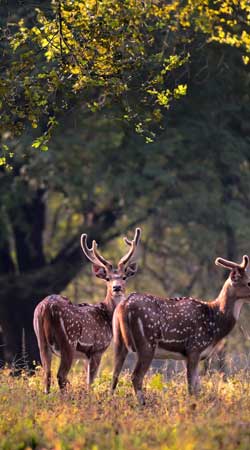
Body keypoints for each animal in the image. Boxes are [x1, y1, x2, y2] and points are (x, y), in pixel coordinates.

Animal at [33, 227, 141, 392]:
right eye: (108, 278)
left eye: (124, 277)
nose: (116, 288)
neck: (107, 315)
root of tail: (45, 308)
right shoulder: (97, 348)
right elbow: (90, 382)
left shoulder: (86, 355)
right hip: (68, 342)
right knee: (61, 375)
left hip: (41, 341)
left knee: (47, 375)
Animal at [112, 255, 250, 406]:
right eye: (249, 282)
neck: (215, 323)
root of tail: (123, 306)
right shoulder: (194, 348)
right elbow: (191, 387)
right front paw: (192, 406)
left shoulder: (187, 355)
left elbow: (197, 387)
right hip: (147, 343)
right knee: (136, 376)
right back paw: (143, 405)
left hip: (119, 340)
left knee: (115, 375)